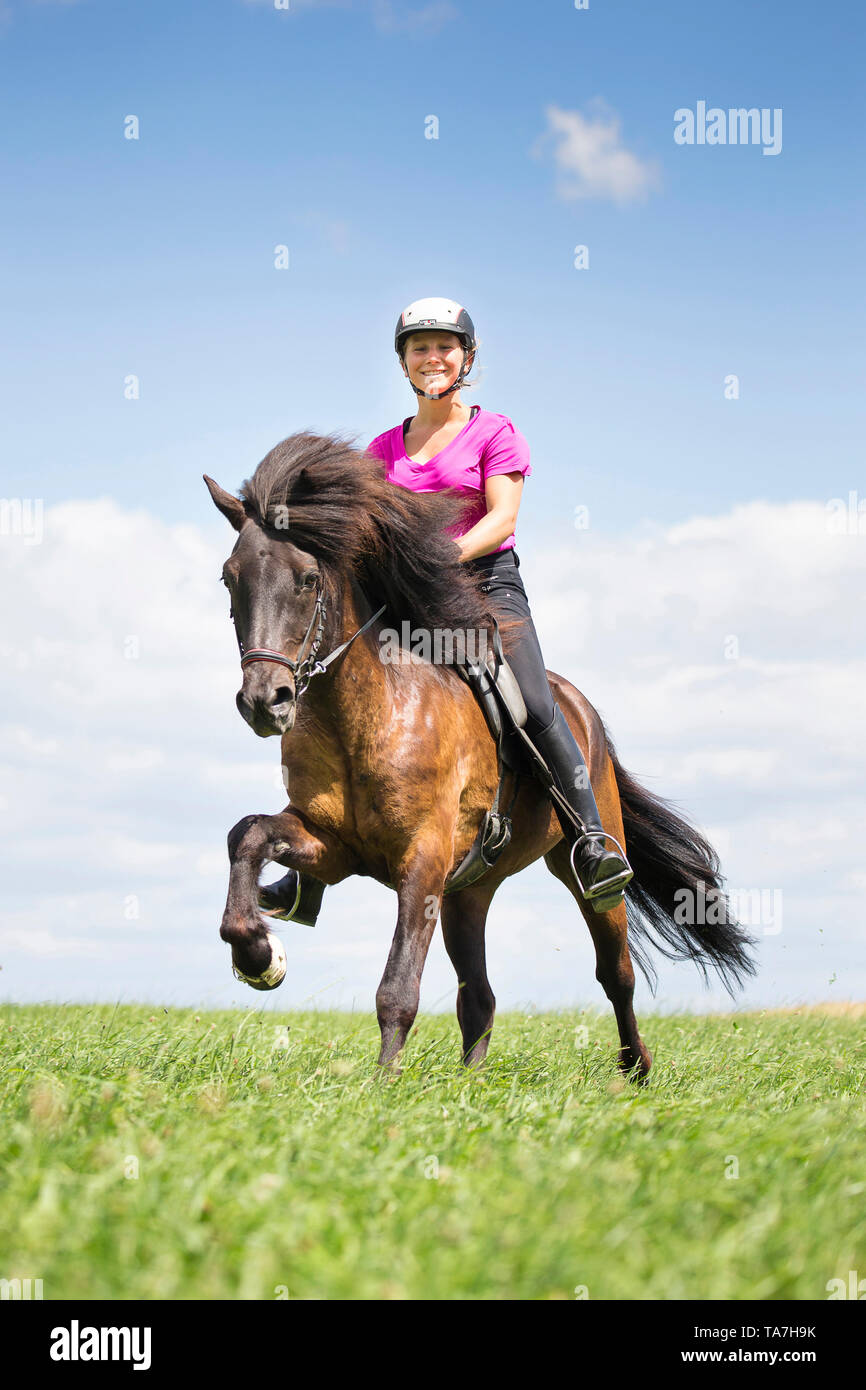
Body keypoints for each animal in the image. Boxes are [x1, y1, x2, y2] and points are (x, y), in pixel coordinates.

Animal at [207, 433, 756, 1073]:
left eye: (307, 579)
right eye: (230, 578)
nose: (263, 701)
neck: (365, 715)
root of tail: (579, 706)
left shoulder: (422, 858)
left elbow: (397, 988)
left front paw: (382, 1085)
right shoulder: (331, 844)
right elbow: (246, 834)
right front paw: (257, 955)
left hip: (584, 871)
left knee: (615, 973)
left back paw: (634, 1071)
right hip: (467, 893)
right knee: (481, 996)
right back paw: (473, 1086)